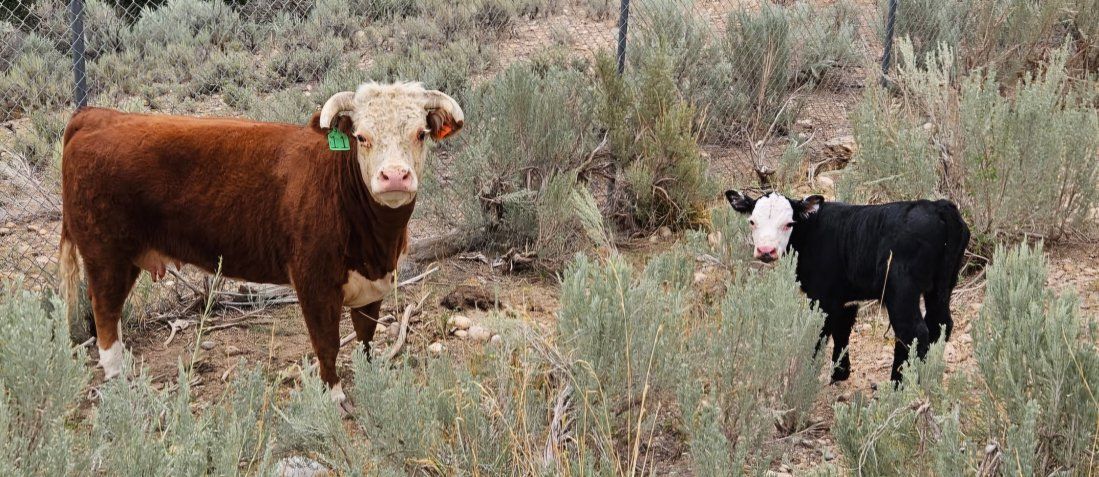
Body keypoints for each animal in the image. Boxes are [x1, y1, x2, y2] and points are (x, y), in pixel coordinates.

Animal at [59, 82, 464, 409]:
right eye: (362, 137)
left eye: (421, 134)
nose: (394, 176)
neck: (377, 240)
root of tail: (97, 116)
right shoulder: (314, 282)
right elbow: (327, 343)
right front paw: (334, 395)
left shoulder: (373, 280)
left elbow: (365, 335)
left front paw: (369, 378)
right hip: (106, 255)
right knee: (105, 318)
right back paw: (119, 383)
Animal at [724, 190, 970, 383]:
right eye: (752, 222)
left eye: (789, 224)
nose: (766, 251)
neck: (811, 231)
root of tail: (937, 206)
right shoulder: (847, 298)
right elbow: (842, 330)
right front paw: (839, 373)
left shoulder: (821, 296)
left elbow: (821, 331)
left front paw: (810, 372)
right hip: (942, 285)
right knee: (941, 323)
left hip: (901, 290)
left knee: (913, 332)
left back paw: (900, 385)